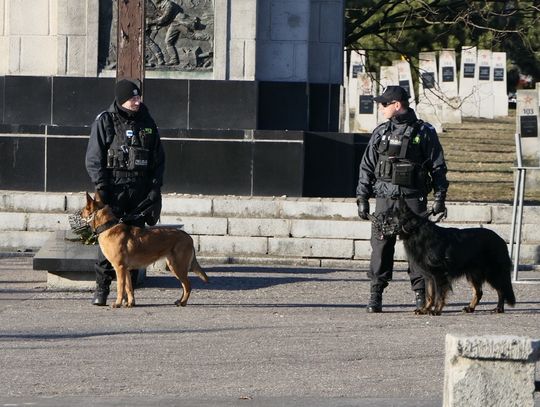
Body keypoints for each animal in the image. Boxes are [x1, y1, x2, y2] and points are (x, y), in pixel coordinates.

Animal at [80, 193, 209, 308]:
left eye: (83, 210)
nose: (78, 214)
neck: (108, 226)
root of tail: (188, 237)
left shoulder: (119, 268)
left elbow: (120, 288)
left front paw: (118, 303)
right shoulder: (126, 270)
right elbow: (129, 288)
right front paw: (130, 303)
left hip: (177, 267)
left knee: (188, 285)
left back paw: (183, 303)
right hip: (175, 267)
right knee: (184, 285)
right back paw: (180, 301)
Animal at [378, 201, 516, 316]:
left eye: (389, 218)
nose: (378, 226)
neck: (415, 230)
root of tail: (501, 240)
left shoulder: (439, 275)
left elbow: (439, 295)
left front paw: (436, 310)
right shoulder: (429, 277)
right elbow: (430, 295)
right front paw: (425, 309)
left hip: (493, 273)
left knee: (502, 290)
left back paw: (499, 308)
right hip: (473, 274)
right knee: (479, 292)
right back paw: (470, 308)